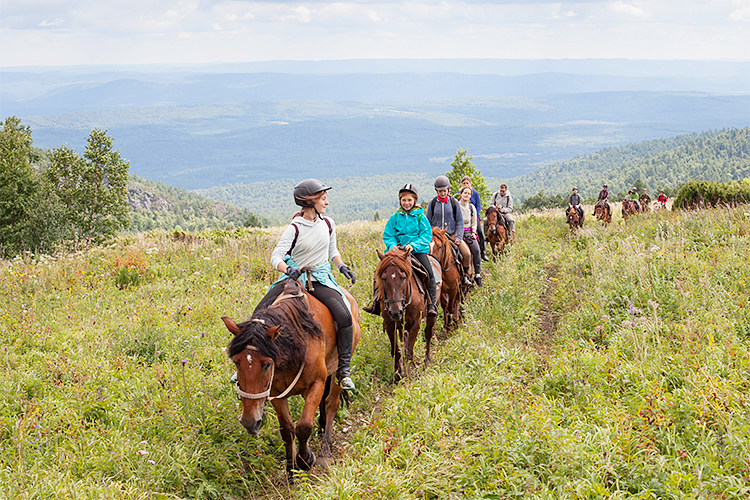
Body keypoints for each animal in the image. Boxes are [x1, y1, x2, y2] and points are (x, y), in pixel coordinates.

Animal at [223, 280, 362, 478]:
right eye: (236, 362)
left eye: (267, 364)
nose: (250, 422)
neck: (294, 346)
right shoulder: (275, 393)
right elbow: (287, 431)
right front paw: (290, 472)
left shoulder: (316, 383)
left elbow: (303, 426)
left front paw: (306, 459)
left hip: (336, 370)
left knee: (331, 404)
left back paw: (325, 449)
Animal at [374, 248, 440, 380]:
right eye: (383, 278)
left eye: (403, 277)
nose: (395, 312)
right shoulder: (390, 324)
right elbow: (396, 350)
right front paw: (398, 375)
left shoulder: (415, 324)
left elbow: (408, 351)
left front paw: (409, 376)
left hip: (431, 315)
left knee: (428, 334)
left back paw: (426, 363)